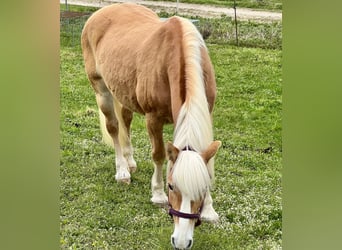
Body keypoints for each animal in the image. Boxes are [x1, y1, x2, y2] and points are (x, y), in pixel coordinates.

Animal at [82, 2, 222, 249]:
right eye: (171, 186)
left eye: (203, 188)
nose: (181, 242)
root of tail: (100, 12)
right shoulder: (153, 118)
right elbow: (158, 154)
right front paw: (157, 194)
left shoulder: (207, 113)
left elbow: (209, 162)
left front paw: (209, 209)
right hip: (101, 90)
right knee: (114, 128)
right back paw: (122, 171)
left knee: (125, 120)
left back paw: (130, 161)